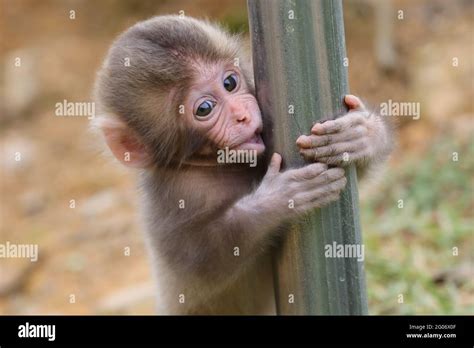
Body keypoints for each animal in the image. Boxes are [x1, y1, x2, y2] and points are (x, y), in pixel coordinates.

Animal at [92, 14, 392, 314]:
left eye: (230, 83)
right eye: (204, 109)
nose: (242, 116)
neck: (217, 165)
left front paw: (359, 134)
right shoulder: (171, 197)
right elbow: (203, 259)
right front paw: (279, 200)